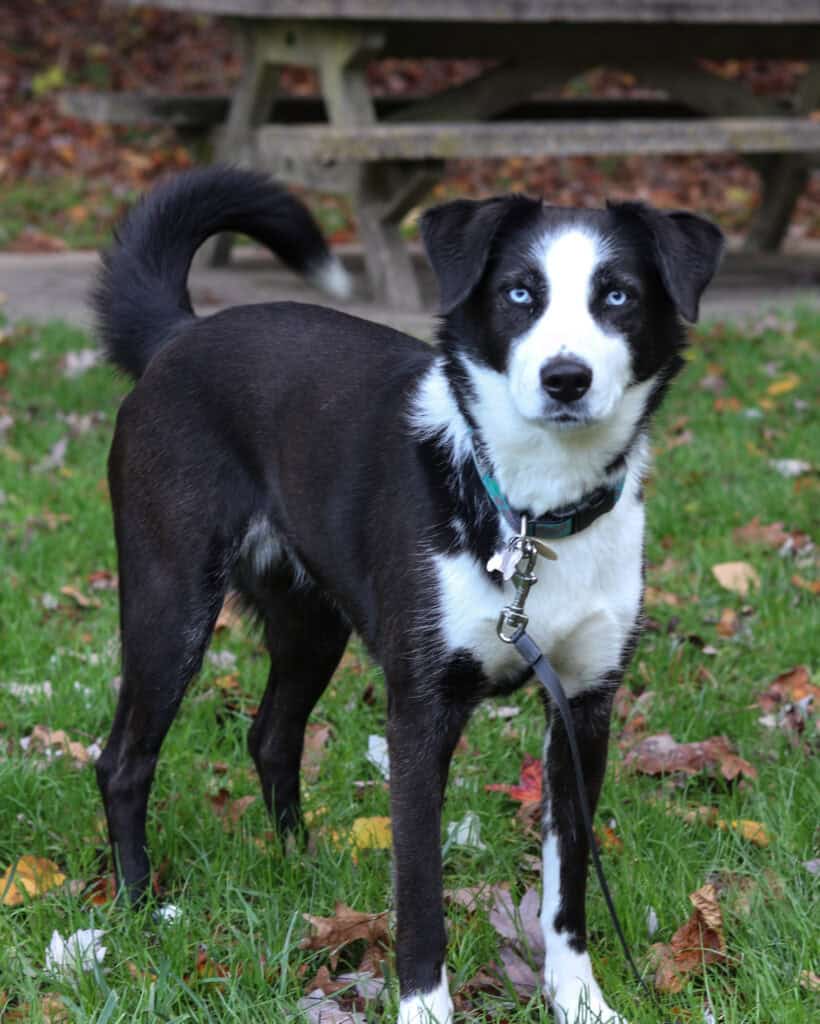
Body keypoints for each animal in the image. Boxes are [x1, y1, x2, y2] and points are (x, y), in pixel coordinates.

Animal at [96, 163, 720, 1019]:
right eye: (520, 293)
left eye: (618, 295)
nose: (566, 378)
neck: (530, 515)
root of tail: (178, 336)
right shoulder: (421, 712)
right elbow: (420, 891)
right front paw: (424, 1005)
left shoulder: (585, 708)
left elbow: (568, 887)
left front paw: (579, 999)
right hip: (170, 604)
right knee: (123, 760)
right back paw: (139, 909)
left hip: (310, 622)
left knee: (271, 736)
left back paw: (300, 867)